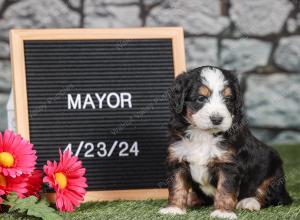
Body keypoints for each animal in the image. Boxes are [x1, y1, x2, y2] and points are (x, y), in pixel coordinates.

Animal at [161, 66, 292, 219]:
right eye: (201, 98)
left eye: (228, 99)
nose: (217, 119)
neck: (203, 134)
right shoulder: (177, 158)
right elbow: (177, 185)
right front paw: (174, 208)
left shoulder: (228, 164)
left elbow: (225, 188)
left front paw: (222, 212)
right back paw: (192, 198)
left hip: (273, 168)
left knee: (267, 193)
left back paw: (249, 202)